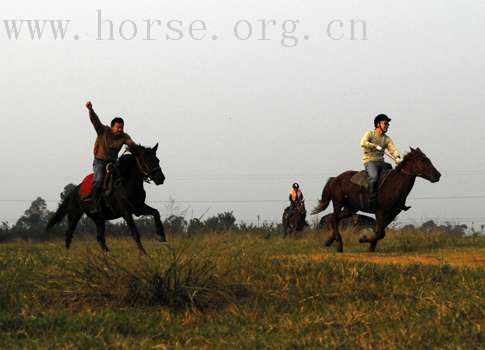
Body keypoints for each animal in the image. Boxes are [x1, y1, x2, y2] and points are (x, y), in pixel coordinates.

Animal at [312, 148, 440, 252]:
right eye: (423, 161)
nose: (437, 175)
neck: (395, 184)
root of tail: (335, 179)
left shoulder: (391, 214)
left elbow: (380, 232)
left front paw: (371, 247)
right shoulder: (380, 212)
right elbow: (379, 232)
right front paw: (363, 239)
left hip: (350, 208)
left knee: (335, 219)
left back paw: (329, 241)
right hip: (338, 203)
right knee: (334, 219)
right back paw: (339, 245)